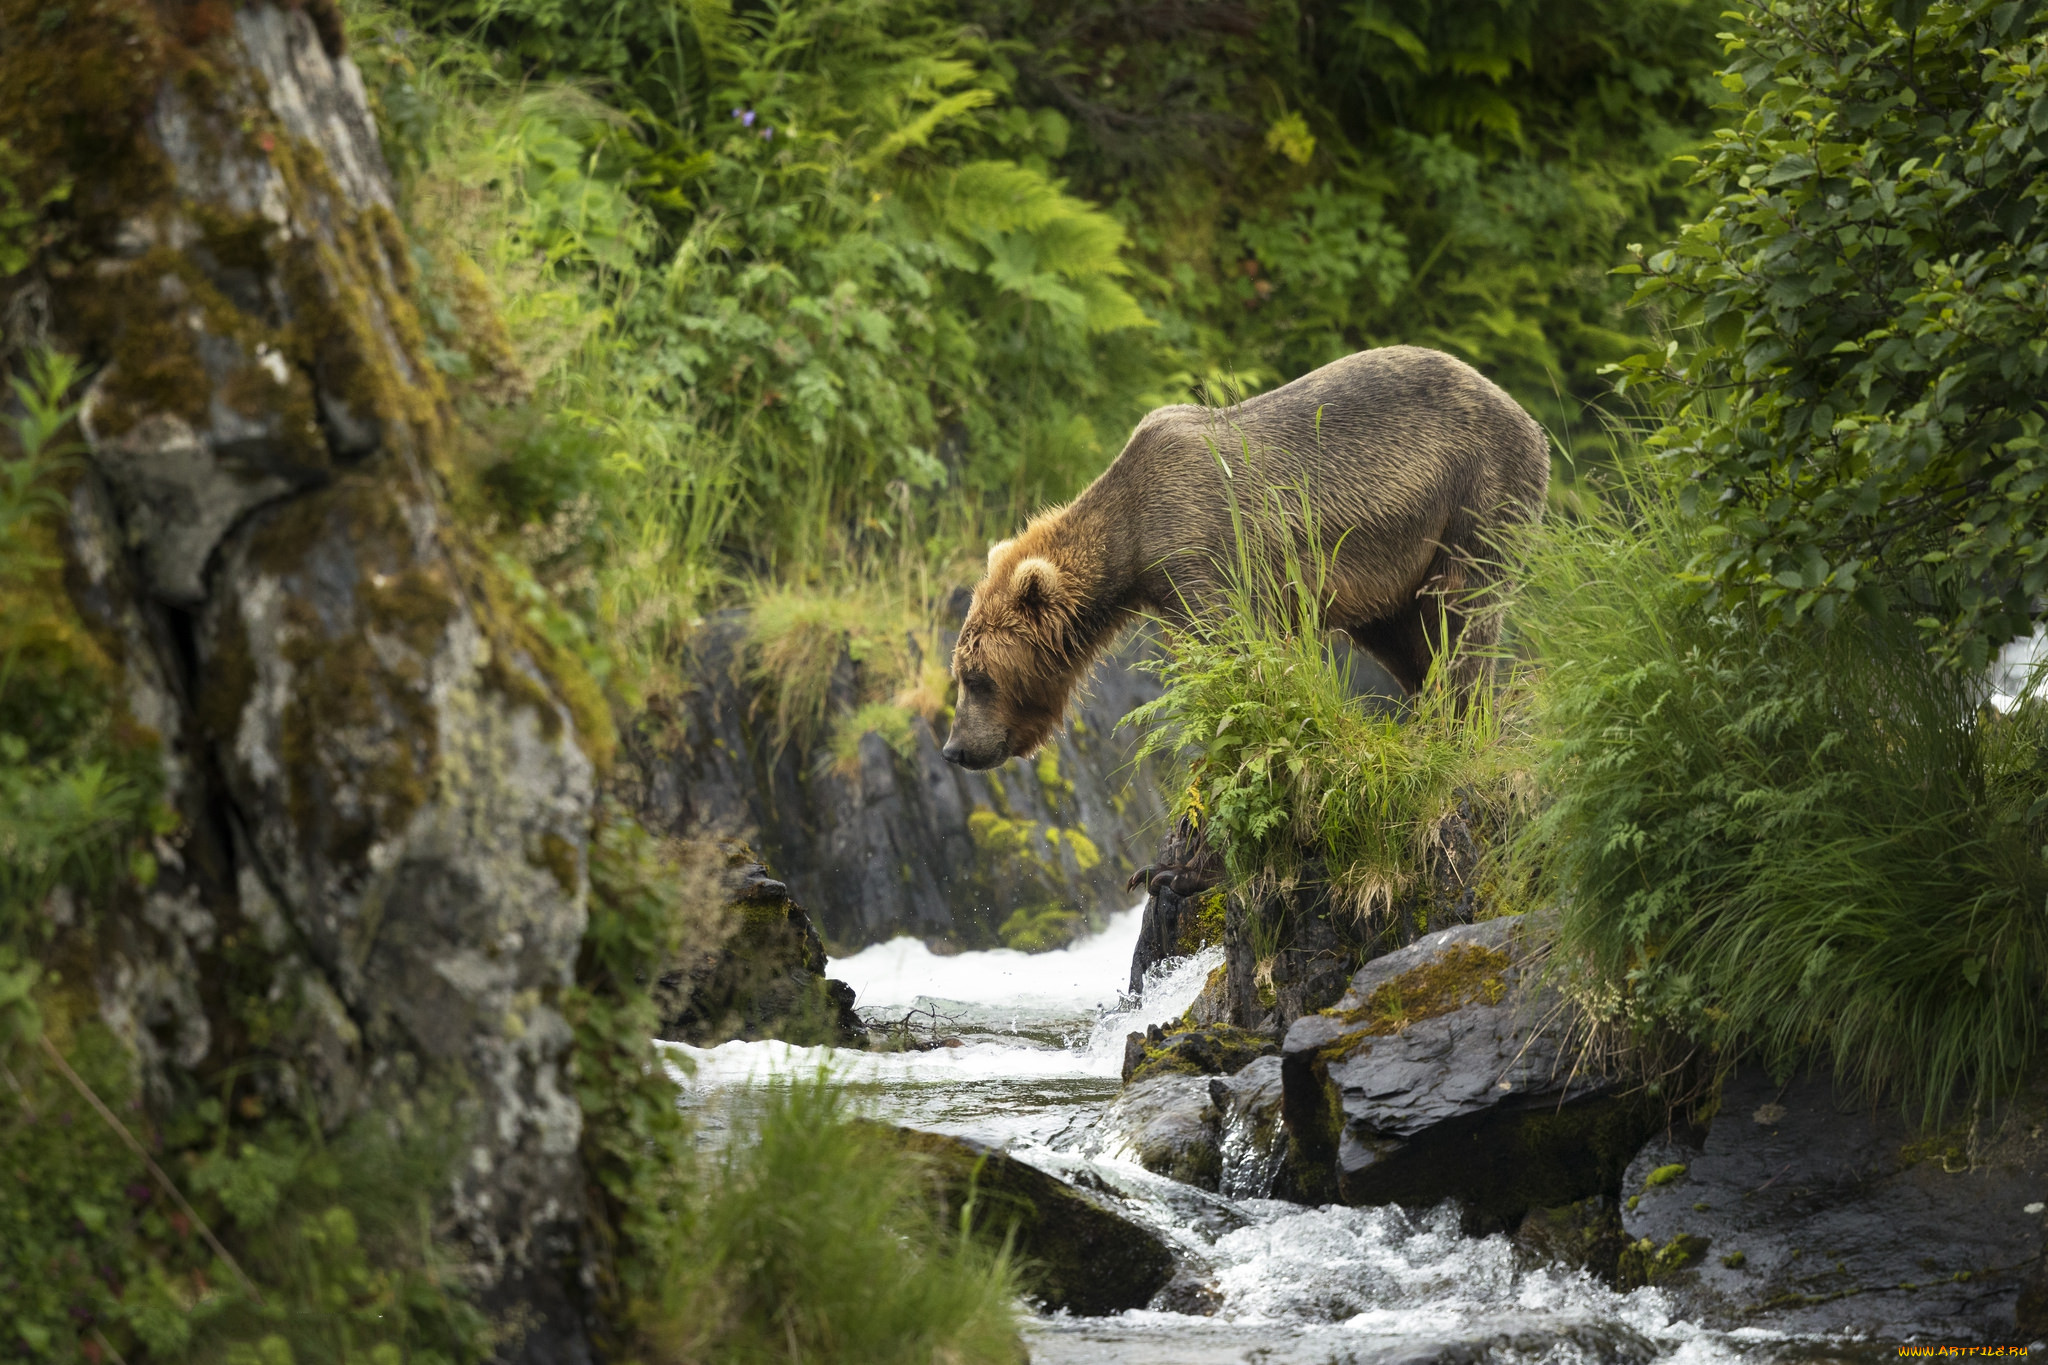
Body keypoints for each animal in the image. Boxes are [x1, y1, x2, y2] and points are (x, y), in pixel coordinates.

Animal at [942, 343, 1548, 769]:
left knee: (1462, 612)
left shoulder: (1201, 546)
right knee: (1405, 637)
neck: (1131, 541)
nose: (955, 749)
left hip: (1475, 490)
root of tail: (1524, 413)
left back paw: (1463, 723)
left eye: (977, 676)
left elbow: (1237, 651)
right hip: (1398, 560)